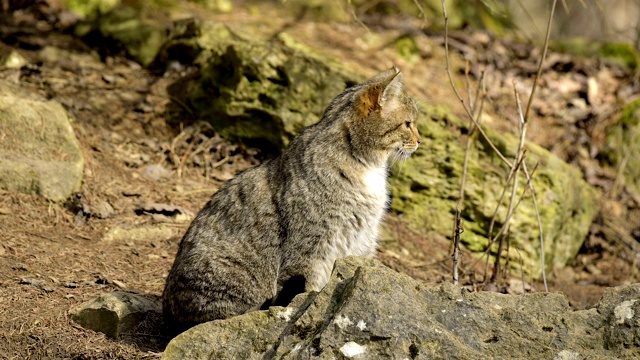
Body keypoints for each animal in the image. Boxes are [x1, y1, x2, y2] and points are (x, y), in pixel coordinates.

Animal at [161, 67, 420, 332]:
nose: (419, 140)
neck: (367, 169)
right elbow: (309, 292)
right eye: (408, 124)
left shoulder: (360, 244)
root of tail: (168, 313)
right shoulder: (310, 251)